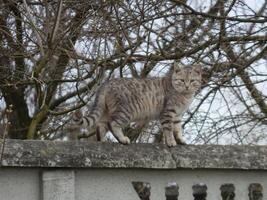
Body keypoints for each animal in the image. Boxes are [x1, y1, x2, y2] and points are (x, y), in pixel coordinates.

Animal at [72, 62, 202, 147]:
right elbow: (169, 129)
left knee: (100, 127)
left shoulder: (178, 115)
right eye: (182, 80)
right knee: (113, 124)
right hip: (125, 111)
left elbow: (178, 129)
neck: (185, 96)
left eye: (192, 81)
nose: (187, 86)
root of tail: (106, 83)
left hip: (105, 111)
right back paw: (122, 139)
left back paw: (102, 141)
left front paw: (180, 140)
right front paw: (171, 142)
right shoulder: (168, 113)